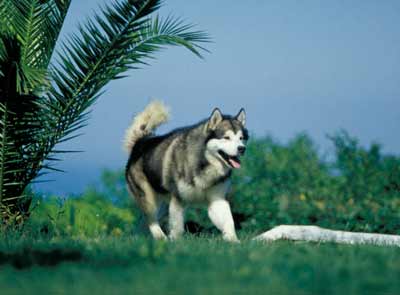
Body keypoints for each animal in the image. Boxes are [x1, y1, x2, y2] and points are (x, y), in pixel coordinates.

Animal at [122, 102, 247, 243]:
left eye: (241, 138)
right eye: (226, 137)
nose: (242, 148)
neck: (204, 163)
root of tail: (140, 142)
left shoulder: (218, 200)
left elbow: (228, 222)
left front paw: (234, 241)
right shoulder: (178, 200)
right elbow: (177, 226)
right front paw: (176, 242)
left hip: (163, 205)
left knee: (144, 222)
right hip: (148, 198)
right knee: (151, 220)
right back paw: (160, 237)